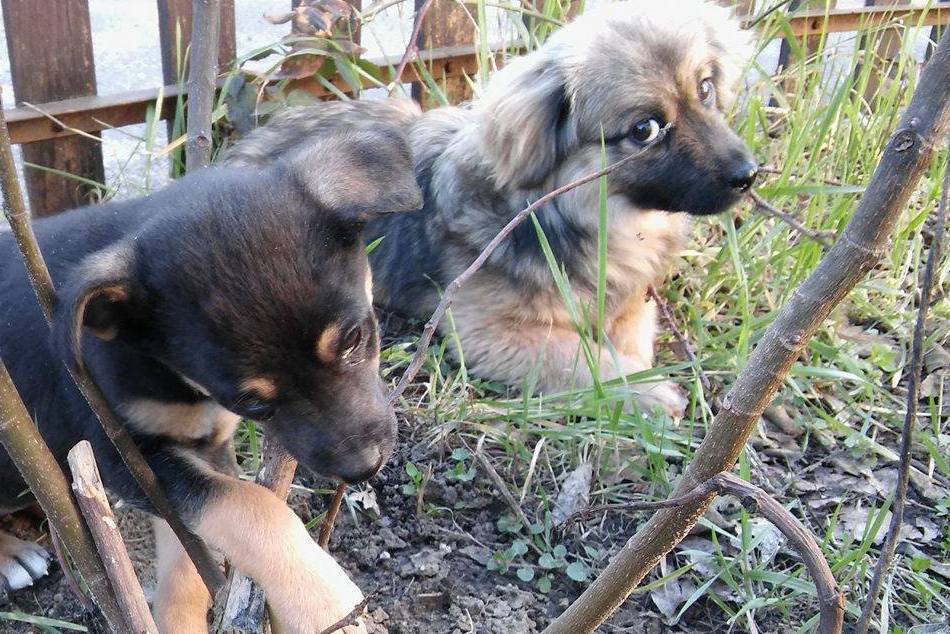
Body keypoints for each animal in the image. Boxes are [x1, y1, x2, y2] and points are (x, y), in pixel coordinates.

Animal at [0, 121, 424, 628]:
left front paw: (179, 618)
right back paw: (10, 555)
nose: (364, 466)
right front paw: (324, 601)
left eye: (355, 338)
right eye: (252, 402)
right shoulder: (120, 454)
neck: (173, 381)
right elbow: (249, 507)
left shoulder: (205, 445)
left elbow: (190, 549)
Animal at [229, 0, 760, 418]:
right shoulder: (491, 332)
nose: (749, 173)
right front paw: (645, 391)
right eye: (645, 130)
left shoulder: (634, 298)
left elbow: (631, 331)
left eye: (705, 89)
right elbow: (585, 359)